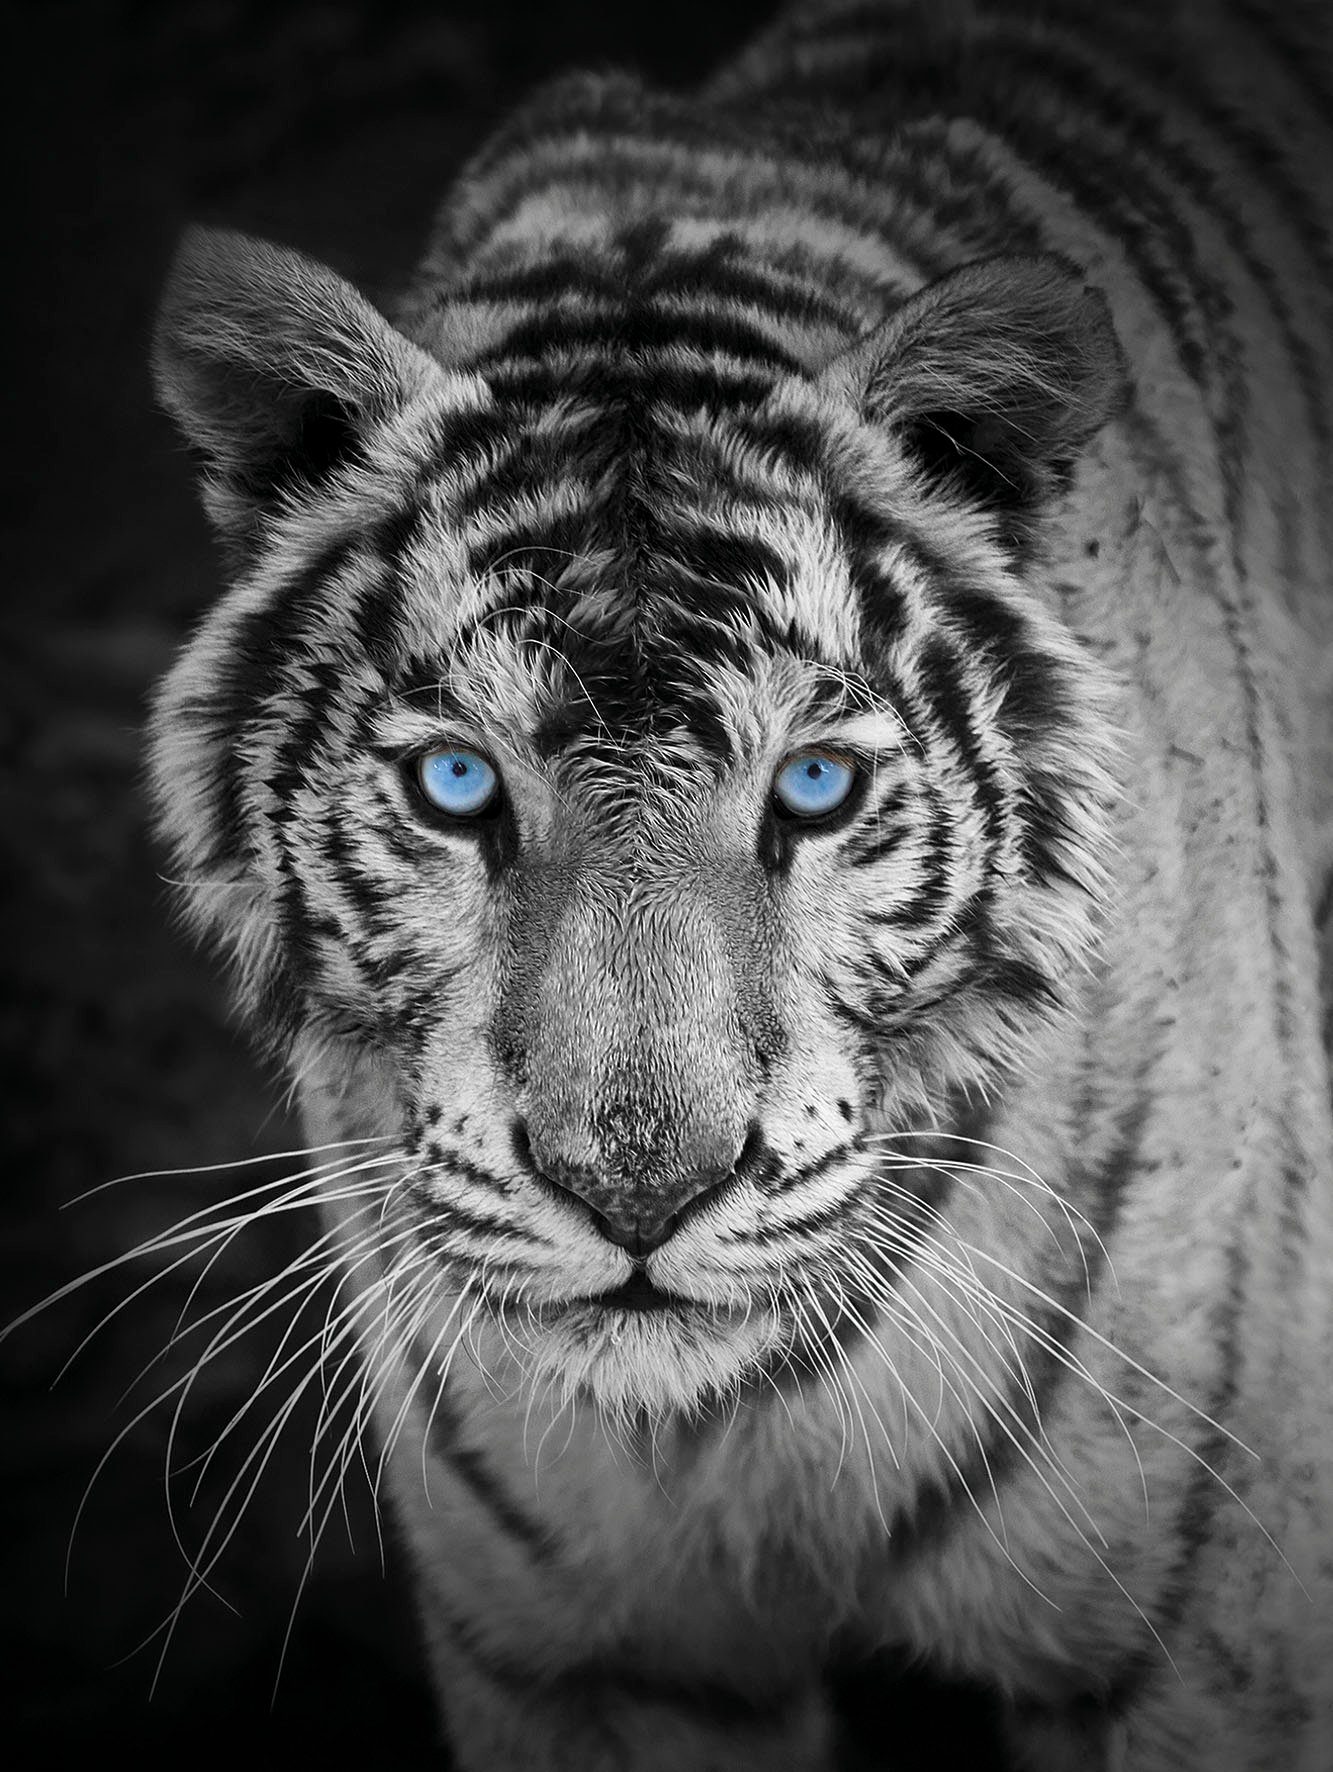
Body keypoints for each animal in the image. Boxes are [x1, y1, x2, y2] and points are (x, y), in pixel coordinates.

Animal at [145, 0, 1333, 1766]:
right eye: (455, 785)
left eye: (816, 790)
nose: (639, 1192)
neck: (730, 1433)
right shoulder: (590, 1664)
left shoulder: (1200, 1646)